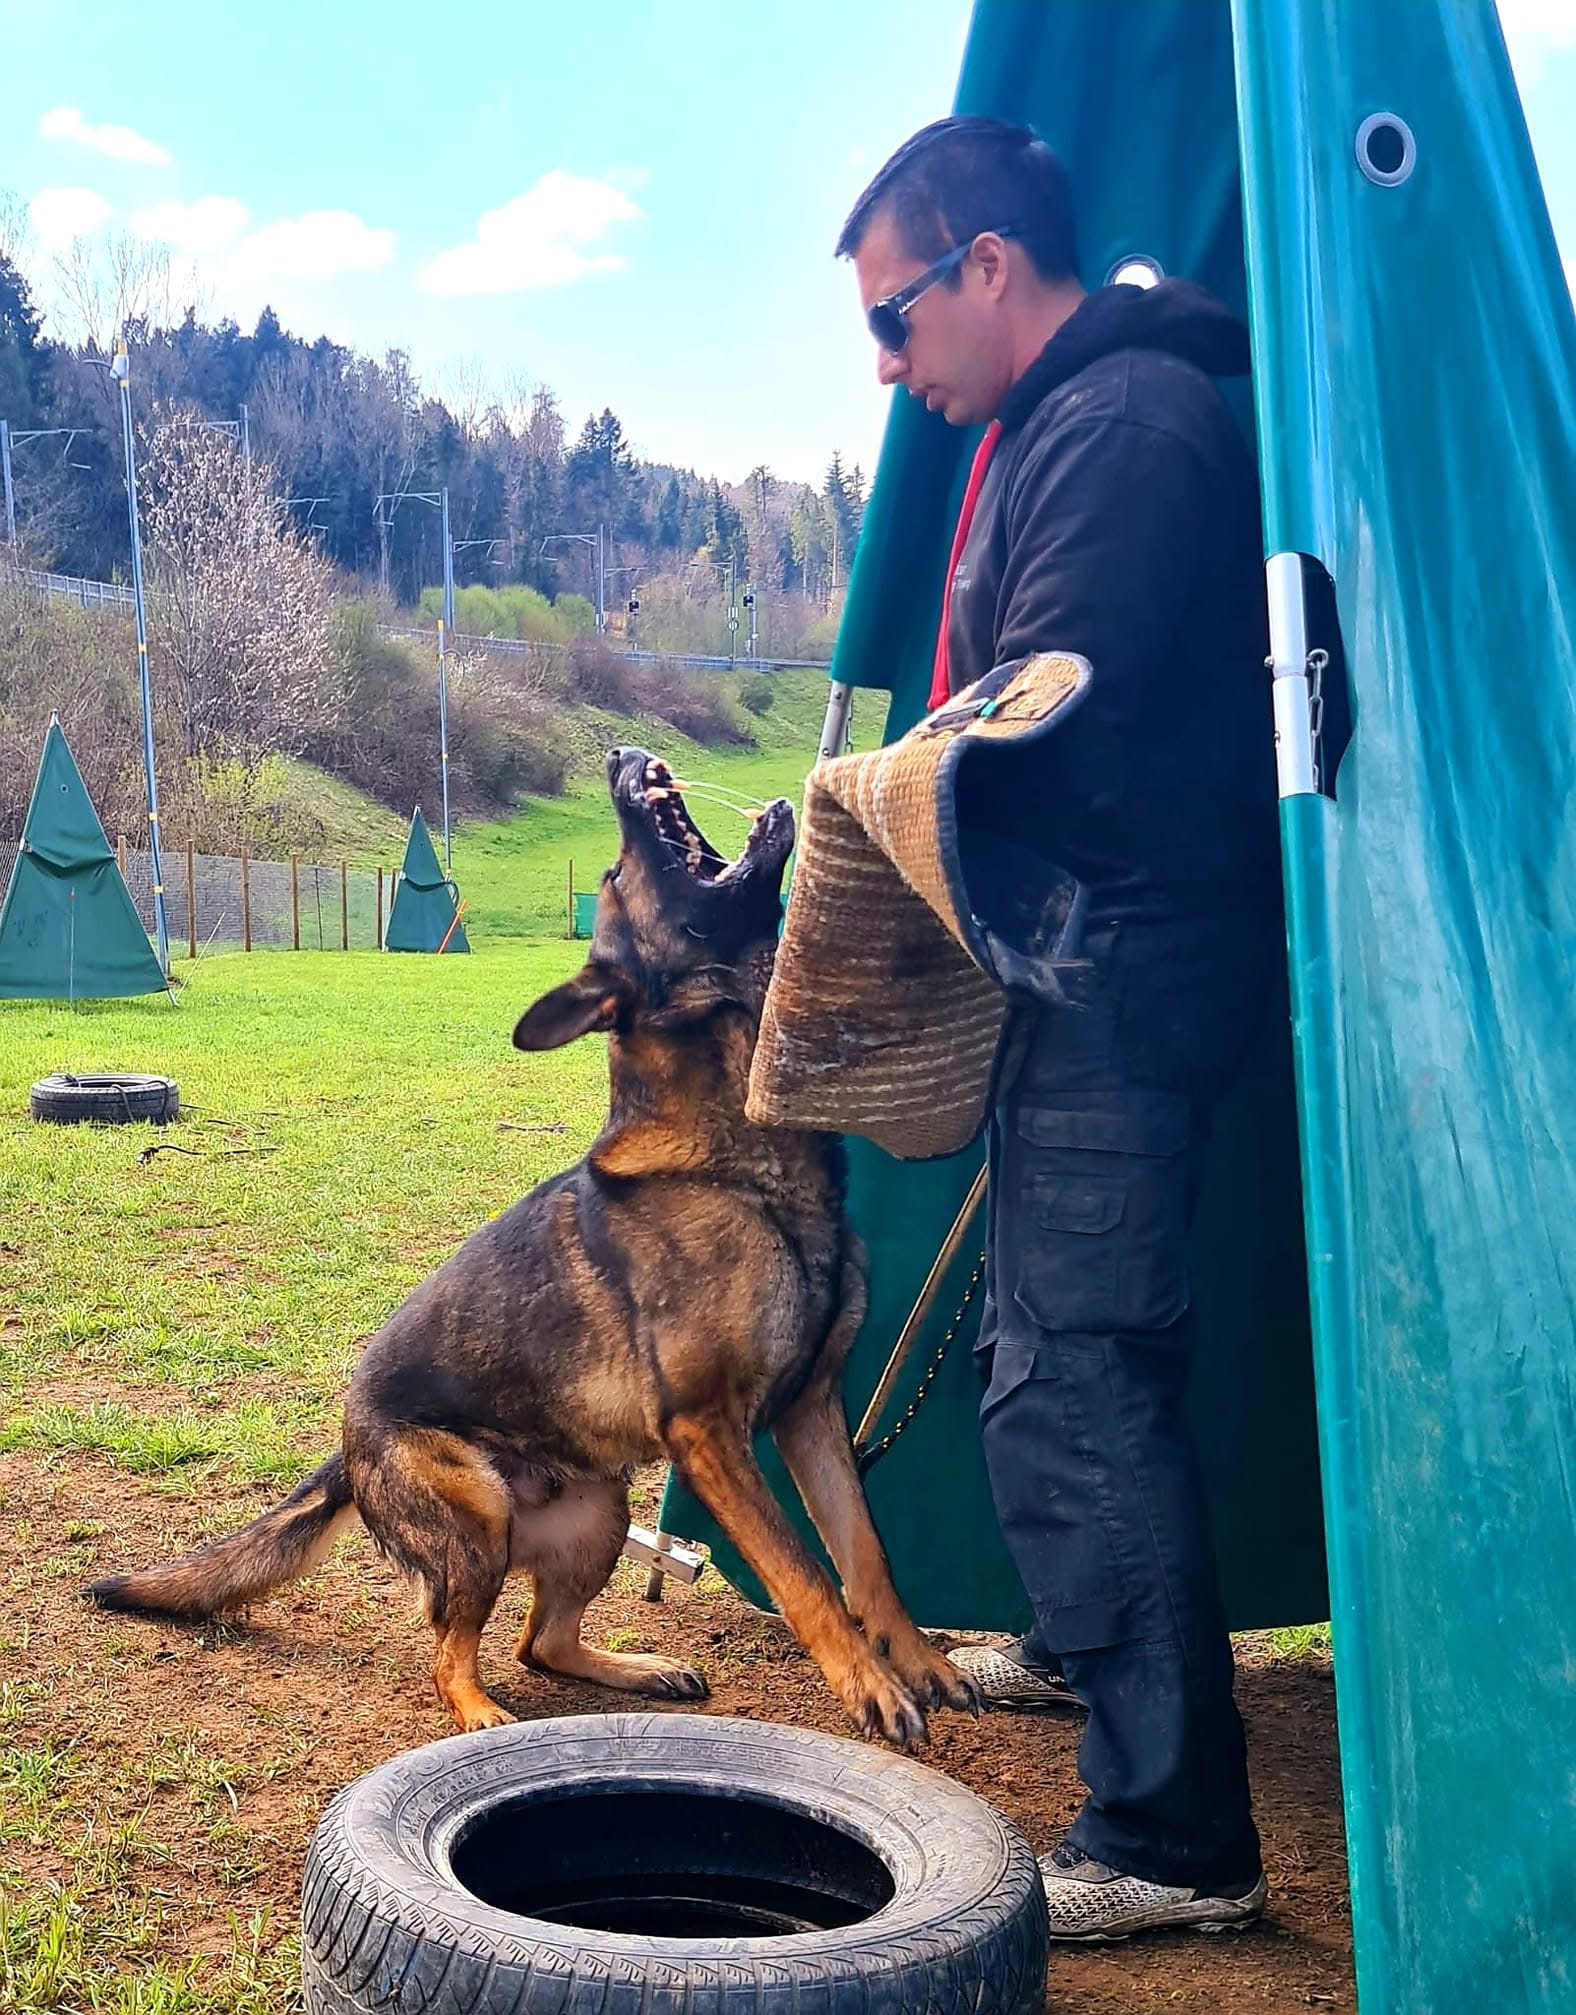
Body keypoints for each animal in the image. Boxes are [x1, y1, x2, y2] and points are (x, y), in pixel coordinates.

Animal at [89, 747, 978, 1746]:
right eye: (615, 874)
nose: (621, 757)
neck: (739, 1157)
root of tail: (349, 1442)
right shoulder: (711, 1431)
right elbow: (805, 1572)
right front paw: (869, 1682)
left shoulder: (814, 1411)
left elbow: (865, 1556)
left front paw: (919, 1660)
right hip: (480, 1513)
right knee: (453, 1651)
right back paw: (482, 1712)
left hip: (600, 1510)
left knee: (541, 1641)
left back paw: (636, 1667)